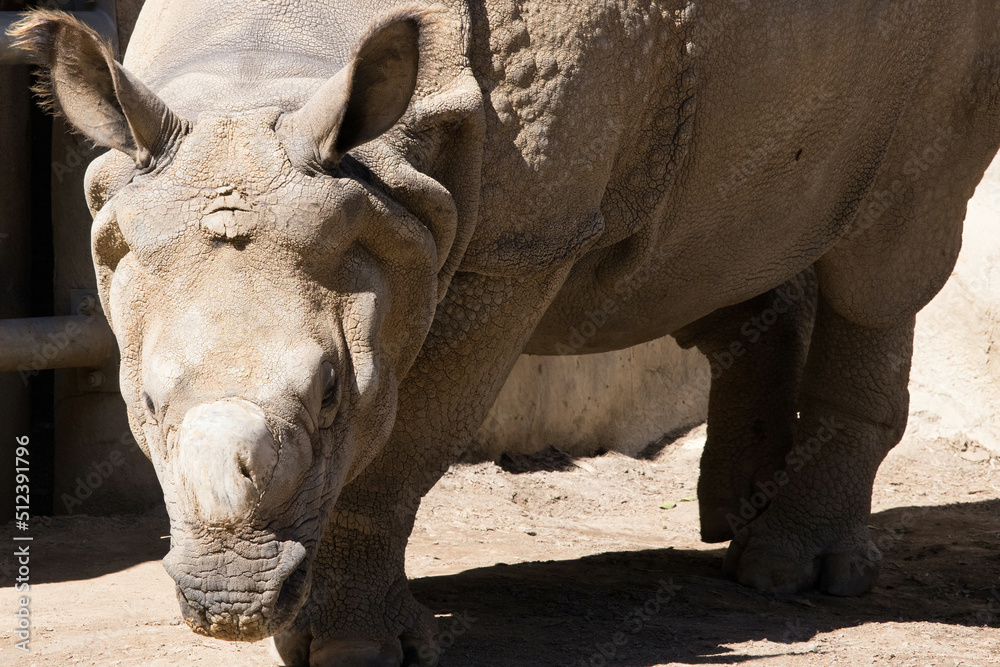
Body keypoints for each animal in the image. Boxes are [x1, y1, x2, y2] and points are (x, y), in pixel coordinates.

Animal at [11, 0, 1000, 664]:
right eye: (143, 402)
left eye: (334, 393)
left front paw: (351, 648)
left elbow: (405, 440)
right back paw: (734, 520)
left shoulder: (518, 252)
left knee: (889, 241)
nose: (227, 604)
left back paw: (791, 575)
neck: (271, 75)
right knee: (740, 228)